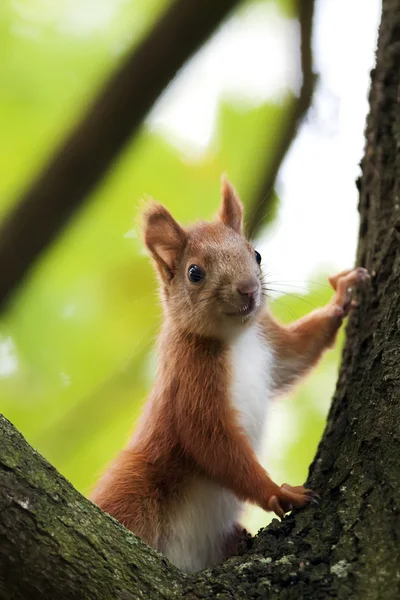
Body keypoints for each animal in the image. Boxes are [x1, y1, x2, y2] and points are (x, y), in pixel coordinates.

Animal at [92, 176, 370, 576]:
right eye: (194, 273)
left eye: (256, 255)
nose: (249, 290)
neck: (236, 338)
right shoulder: (190, 376)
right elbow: (210, 437)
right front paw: (279, 492)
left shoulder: (271, 347)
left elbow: (297, 354)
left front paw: (342, 296)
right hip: (134, 489)